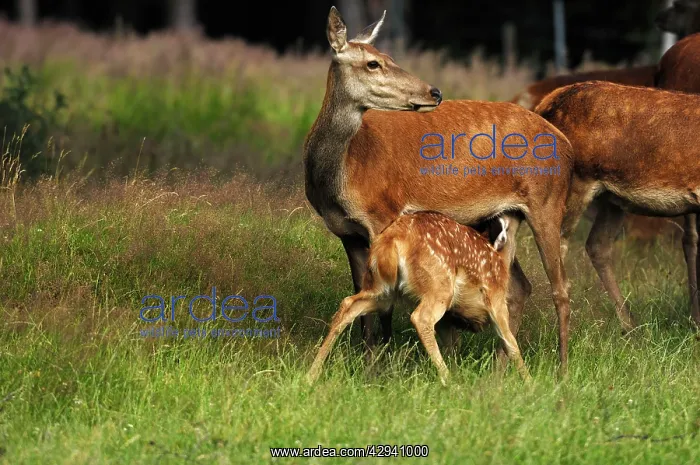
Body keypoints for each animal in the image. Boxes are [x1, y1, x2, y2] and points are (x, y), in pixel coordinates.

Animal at [307, 212, 530, 385]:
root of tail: (393, 239)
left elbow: (453, 343)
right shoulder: (496, 299)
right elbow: (511, 343)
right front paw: (529, 385)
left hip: (382, 288)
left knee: (348, 305)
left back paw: (311, 375)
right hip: (439, 286)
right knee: (421, 318)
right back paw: (449, 381)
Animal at [534, 80, 700, 333]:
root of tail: (544, 105)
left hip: (612, 198)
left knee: (597, 244)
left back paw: (631, 326)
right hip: (576, 180)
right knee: (556, 245)